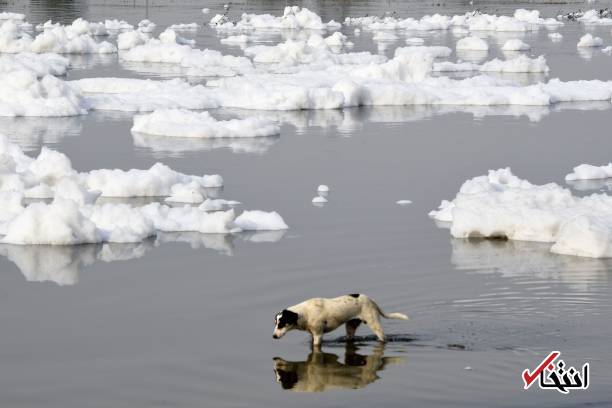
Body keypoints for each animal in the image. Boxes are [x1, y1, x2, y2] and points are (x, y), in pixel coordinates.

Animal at [272, 294, 406, 344]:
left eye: (281, 323)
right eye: (275, 323)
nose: (273, 336)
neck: (304, 313)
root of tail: (371, 300)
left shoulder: (318, 335)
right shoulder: (312, 335)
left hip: (375, 325)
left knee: (383, 338)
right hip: (350, 327)